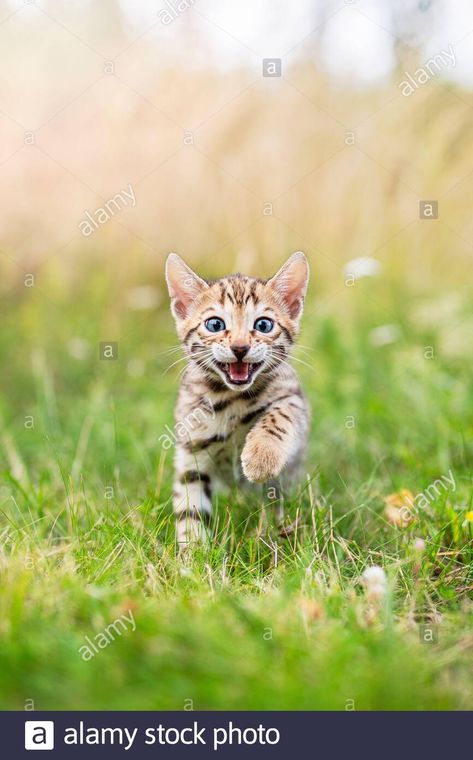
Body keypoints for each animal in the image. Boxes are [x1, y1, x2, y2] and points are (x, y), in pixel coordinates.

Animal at [165, 251, 310, 548]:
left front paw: (260, 457)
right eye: (215, 324)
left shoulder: (293, 398)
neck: (227, 396)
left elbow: (278, 416)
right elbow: (190, 508)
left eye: (263, 325)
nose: (240, 347)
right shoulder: (191, 453)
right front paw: (193, 553)